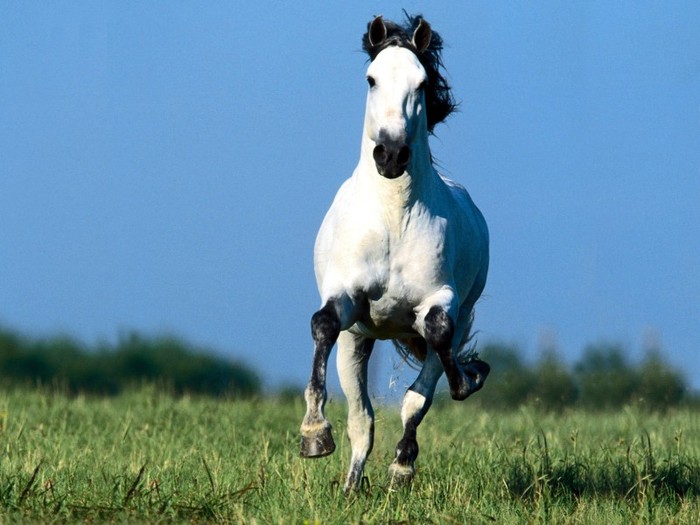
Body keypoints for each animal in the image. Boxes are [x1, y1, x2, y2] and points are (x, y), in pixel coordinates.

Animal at [299, 13, 490, 493]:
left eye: (421, 83)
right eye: (371, 79)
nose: (390, 154)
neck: (393, 216)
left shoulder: (441, 302)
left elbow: (437, 344)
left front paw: (470, 378)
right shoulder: (345, 297)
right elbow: (322, 324)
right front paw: (313, 435)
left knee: (417, 392)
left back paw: (401, 468)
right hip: (358, 341)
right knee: (361, 418)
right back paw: (351, 486)